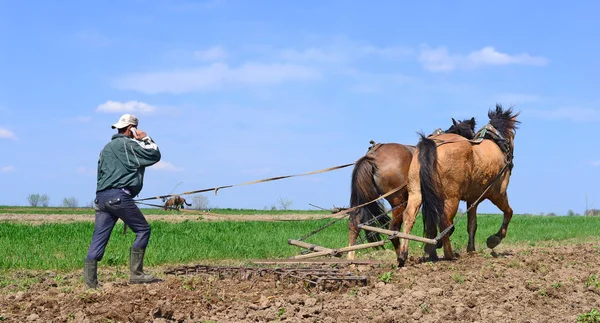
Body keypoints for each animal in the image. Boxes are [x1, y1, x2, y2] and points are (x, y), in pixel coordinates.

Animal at [350, 117, 476, 260]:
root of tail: (373, 155)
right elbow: (440, 225)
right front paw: (435, 246)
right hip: (398, 202)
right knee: (393, 228)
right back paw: (401, 255)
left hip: (365, 199)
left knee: (354, 225)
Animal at [396, 105, 516, 268]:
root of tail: (432, 143)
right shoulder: (498, 193)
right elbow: (508, 212)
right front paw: (494, 239)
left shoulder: (473, 199)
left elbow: (472, 224)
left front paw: (470, 249)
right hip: (452, 198)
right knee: (444, 221)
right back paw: (449, 254)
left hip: (416, 192)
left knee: (409, 217)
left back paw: (404, 255)